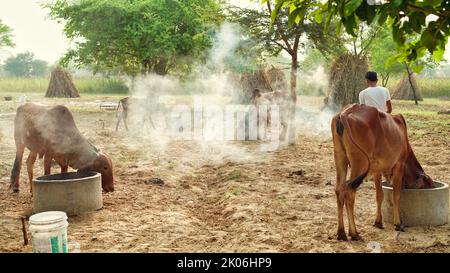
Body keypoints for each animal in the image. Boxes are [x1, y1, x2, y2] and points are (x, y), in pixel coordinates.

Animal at [332, 103, 434, 239]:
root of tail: (344, 113)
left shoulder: (377, 170)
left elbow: (379, 195)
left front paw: (378, 222)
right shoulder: (399, 165)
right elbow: (396, 195)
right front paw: (398, 223)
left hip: (340, 159)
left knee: (339, 190)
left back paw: (341, 232)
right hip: (359, 164)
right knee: (349, 191)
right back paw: (354, 233)